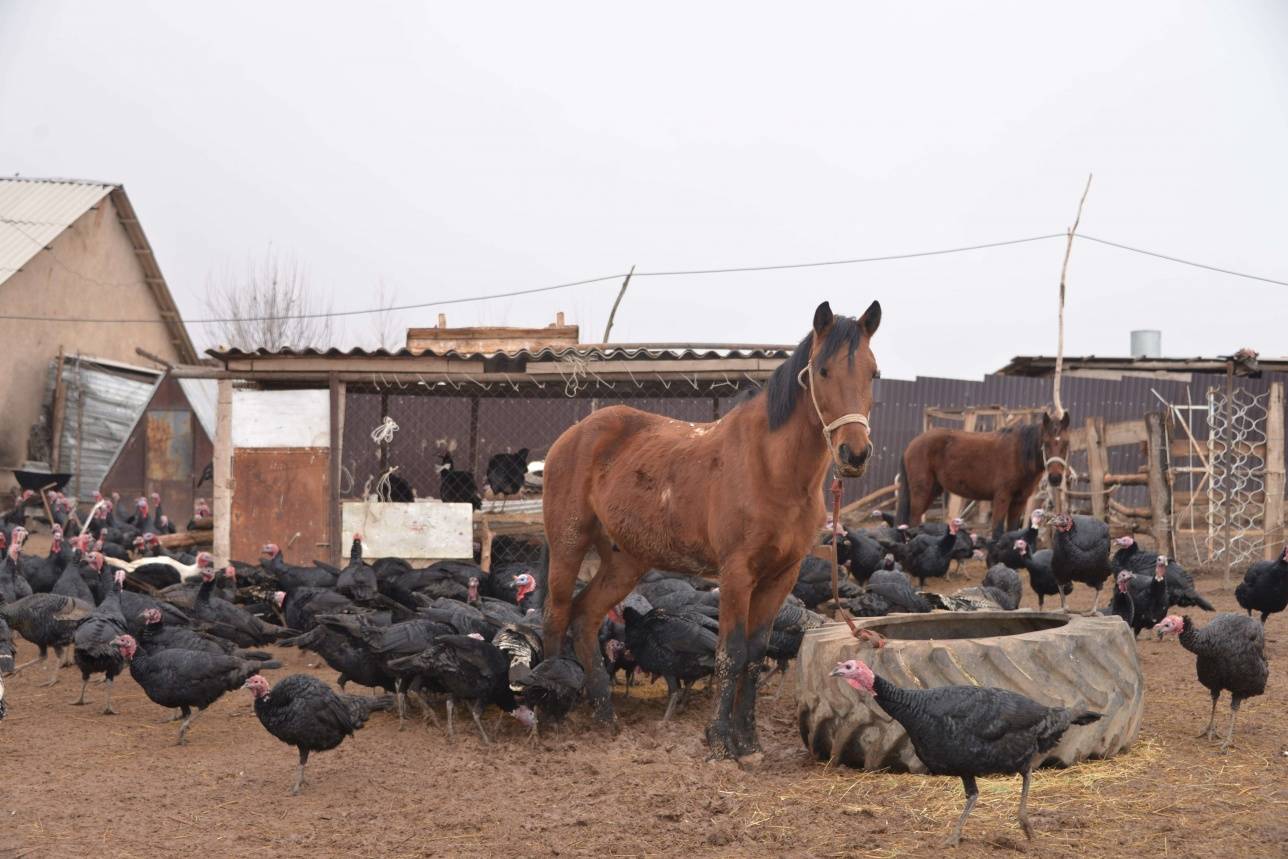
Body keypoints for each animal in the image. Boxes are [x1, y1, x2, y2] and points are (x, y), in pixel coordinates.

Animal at [538, 301, 880, 757]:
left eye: (873, 372)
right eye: (823, 371)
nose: (854, 453)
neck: (771, 469)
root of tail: (574, 434)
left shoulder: (781, 576)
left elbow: (755, 653)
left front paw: (748, 741)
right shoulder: (736, 573)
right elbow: (730, 652)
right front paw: (719, 740)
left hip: (625, 561)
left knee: (585, 617)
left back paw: (604, 714)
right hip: (568, 543)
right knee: (556, 614)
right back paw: (552, 712)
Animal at [896, 412, 1066, 538]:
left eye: (1066, 444)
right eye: (1046, 443)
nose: (1055, 478)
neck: (1018, 454)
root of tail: (911, 445)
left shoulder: (1019, 501)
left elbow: (1011, 532)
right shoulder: (1002, 498)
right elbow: (997, 532)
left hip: (932, 491)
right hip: (921, 492)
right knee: (913, 522)